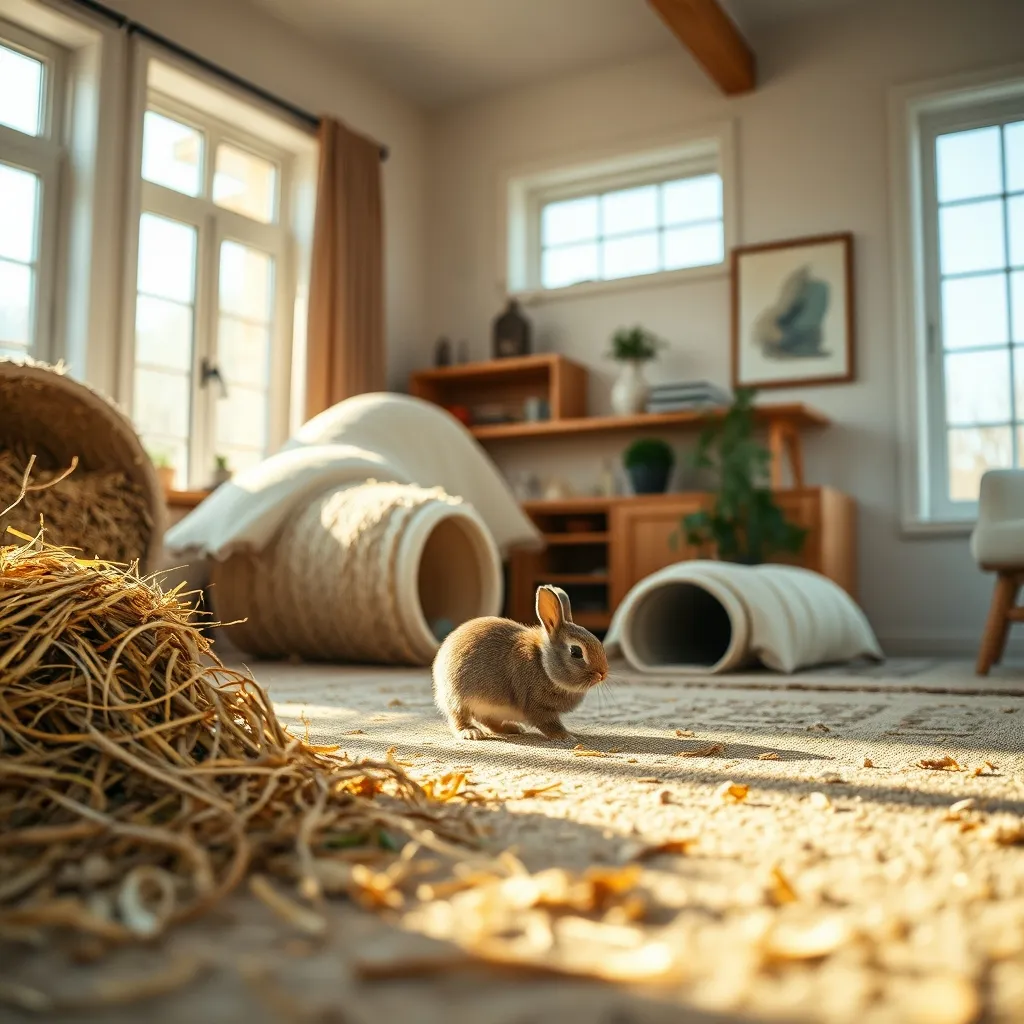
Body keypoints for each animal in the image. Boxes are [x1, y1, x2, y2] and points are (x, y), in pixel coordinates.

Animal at [432, 585, 609, 744]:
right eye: (576, 652)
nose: (602, 674)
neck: (543, 664)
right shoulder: (537, 707)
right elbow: (550, 724)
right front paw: (566, 737)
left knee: (488, 722)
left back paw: (512, 728)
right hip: (458, 697)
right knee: (458, 717)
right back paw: (471, 732)